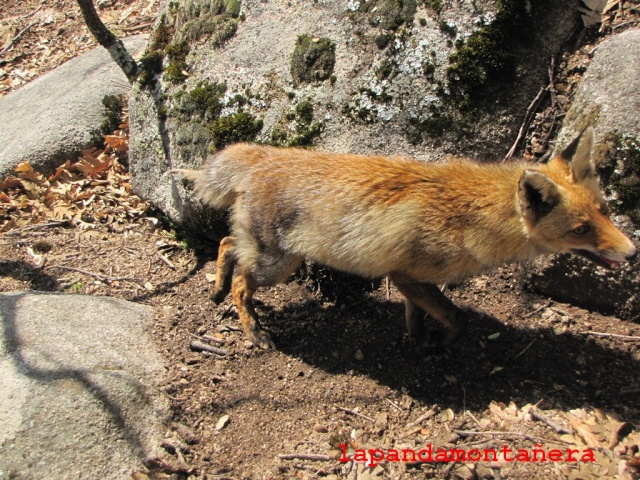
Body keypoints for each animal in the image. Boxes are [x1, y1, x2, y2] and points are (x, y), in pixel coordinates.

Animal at [172, 127, 636, 350]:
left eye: (606, 212)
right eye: (581, 229)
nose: (632, 253)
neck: (471, 218)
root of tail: (264, 154)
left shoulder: (413, 280)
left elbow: (420, 316)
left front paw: (417, 342)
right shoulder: (405, 276)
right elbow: (456, 317)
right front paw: (440, 345)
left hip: (272, 258)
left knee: (226, 246)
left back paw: (215, 290)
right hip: (279, 265)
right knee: (241, 279)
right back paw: (252, 329)